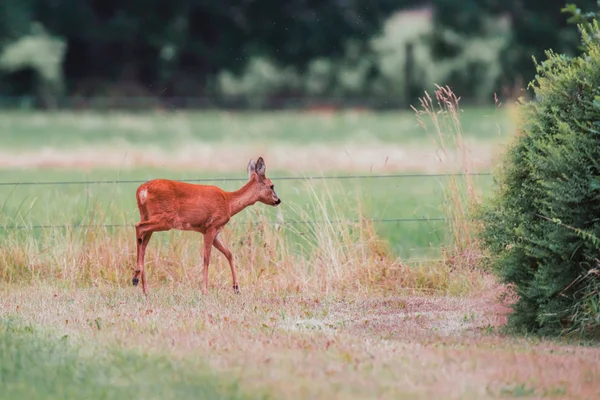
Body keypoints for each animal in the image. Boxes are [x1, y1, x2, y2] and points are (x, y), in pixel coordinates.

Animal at [133, 158, 282, 296]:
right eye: (271, 186)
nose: (278, 200)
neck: (229, 203)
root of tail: (142, 190)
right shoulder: (211, 227)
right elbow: (207, 258)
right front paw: (205, 290)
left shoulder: (214, 232)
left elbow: (229, 253)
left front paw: (236, 288)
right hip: (165, 219)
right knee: (138, 227)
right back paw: (135, 277)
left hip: (147, 216)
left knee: (143, 245)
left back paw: (145, 289)